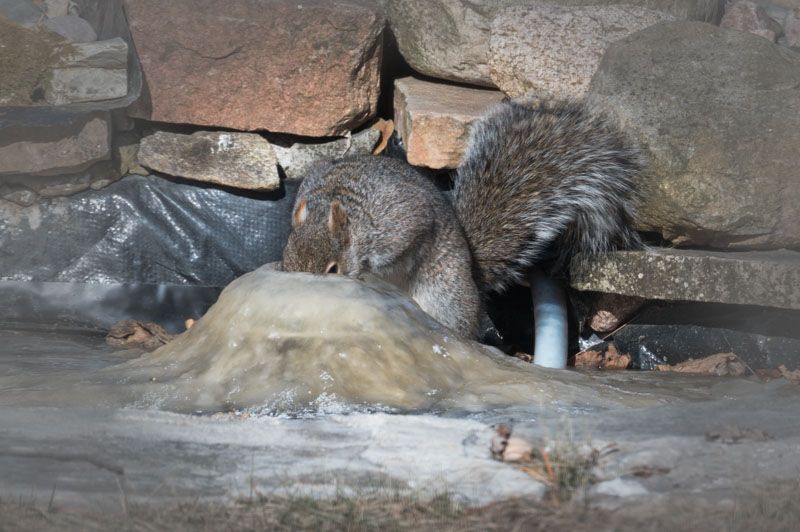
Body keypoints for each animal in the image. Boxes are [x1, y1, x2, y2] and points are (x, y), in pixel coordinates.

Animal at [281, 99, 643, 339]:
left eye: (333, 269)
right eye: (286, 261)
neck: (340, 201)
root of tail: (474, 283)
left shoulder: (398, 220)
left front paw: (368, 271)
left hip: (445, 297)